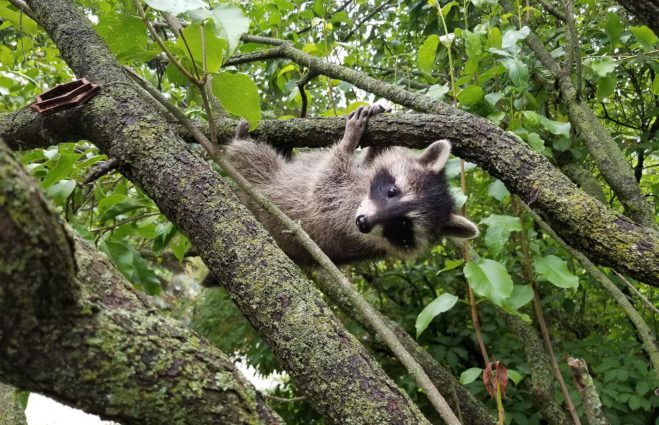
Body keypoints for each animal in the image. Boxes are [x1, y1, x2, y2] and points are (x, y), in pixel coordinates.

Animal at [227, 104, 480, 264]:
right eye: (392, 191)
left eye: (403, 225)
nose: (363, 223)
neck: (362, 192)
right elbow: (372, 159)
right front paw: (377, 142)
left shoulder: (340, 211)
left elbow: (325, 183)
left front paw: (348, 141)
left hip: (266, 187)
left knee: (255, 161)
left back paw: (241, 141)